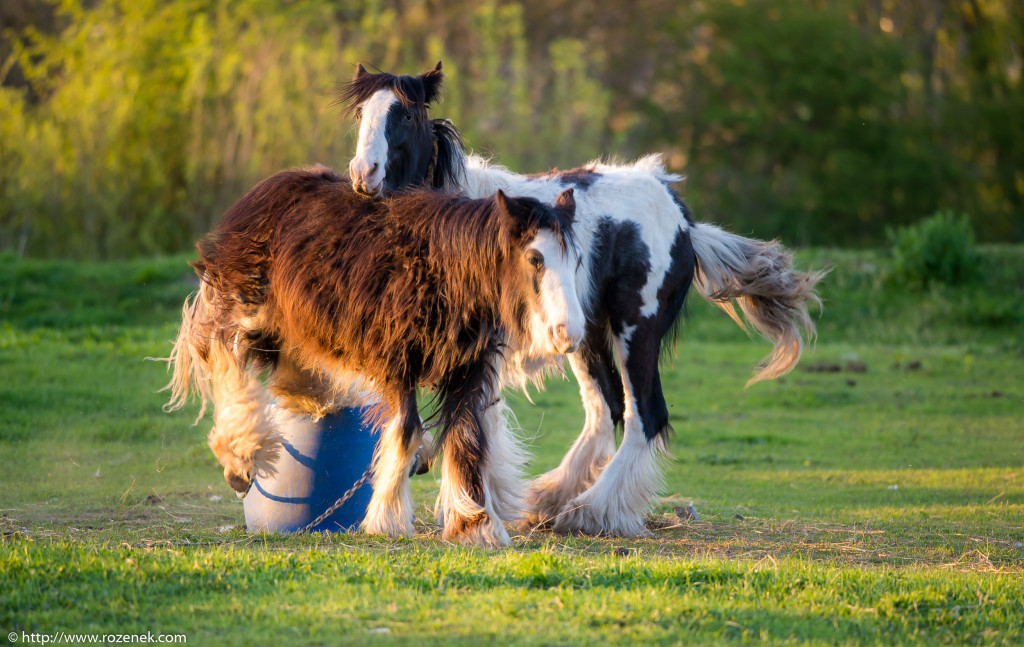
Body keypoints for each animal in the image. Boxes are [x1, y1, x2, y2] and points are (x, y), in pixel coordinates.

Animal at [165, 165, 585, 544]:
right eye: (535, 259)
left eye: (578, 262)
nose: (570, 335)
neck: (445, 271)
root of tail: (264, 190)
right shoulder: (398, 363)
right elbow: (407, 430)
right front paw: (387, 519)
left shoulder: (467, 370)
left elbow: (466, 438)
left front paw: (474, 524)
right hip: (247, 309)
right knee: (223, 356)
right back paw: (241, 459)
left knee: (289, 371)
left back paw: (310, 403)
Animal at [339, 61, 827, 536]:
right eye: (361, 113)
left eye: (405, 113)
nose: (363, 174)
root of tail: (681, 215)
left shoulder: (482, 351)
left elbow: (470, 423)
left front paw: (472, 511)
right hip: (585, 335)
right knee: (605, 409)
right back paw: (551, 501)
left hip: (636, 329)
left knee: (644, 415)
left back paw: (590, 511)